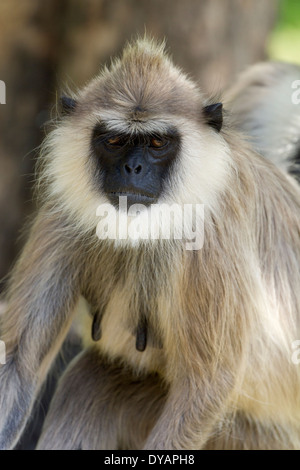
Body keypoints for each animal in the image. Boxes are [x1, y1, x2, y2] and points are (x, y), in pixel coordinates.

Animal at [0, 40, 300, 452]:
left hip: (256, 436)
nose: (133, 169)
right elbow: (18, 362)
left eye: (157, 142)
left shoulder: (215, 224)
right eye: (115, 141)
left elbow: (208, 384)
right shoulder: (65, 206)